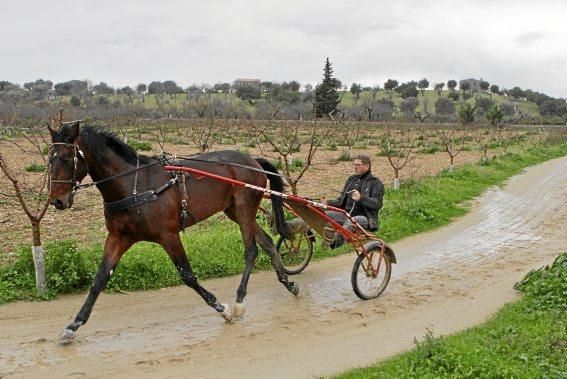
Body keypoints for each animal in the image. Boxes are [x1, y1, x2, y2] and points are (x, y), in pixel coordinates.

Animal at [46, 122, 300, 344]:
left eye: (66, 159)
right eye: (50, 160)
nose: (57, 201)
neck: (134, 185)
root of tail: (252, 159)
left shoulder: (168, 236)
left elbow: (187, 275)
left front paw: (222, 309)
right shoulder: (119, 237)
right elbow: (99, 280)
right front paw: (74, 325)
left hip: (245, 206)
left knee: (251, 250)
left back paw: (238, 301)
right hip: (233, 210)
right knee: (267, 243)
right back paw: (288, 283)